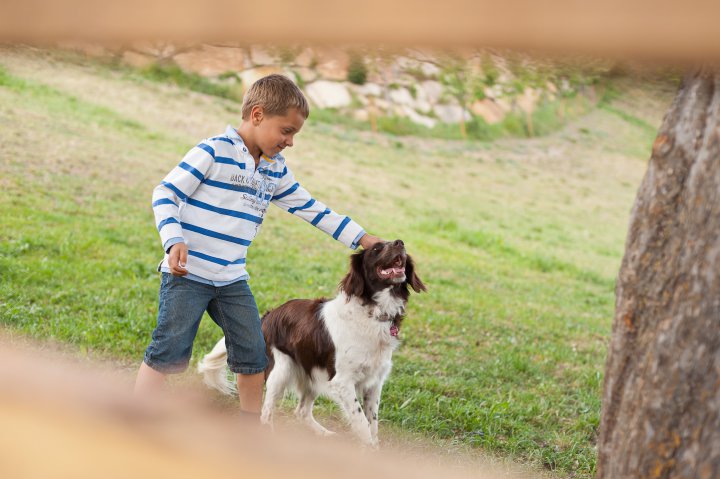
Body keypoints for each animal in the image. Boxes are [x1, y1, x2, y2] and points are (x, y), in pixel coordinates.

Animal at [197, 242, 424, 448]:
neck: (373, 312)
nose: (400, 243)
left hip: (313, 371)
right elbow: (361, 422)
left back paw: (324, 434)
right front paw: (369, 452)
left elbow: (372, 424)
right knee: (266, 413)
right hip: (281, 370)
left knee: (302, 411)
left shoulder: (374, 382)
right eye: (377, 248)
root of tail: (267, 316)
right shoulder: (342, 381)